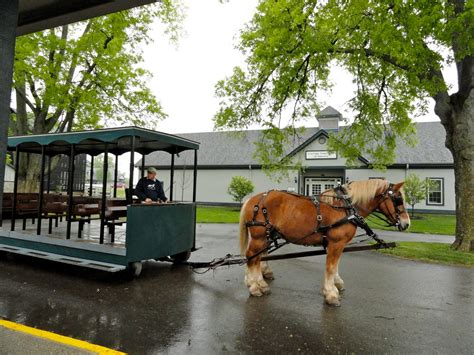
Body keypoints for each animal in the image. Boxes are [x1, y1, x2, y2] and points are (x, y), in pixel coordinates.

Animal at [239, 179, 410, 308]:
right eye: (398, 200)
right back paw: (254, 287)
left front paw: (337, 283)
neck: (345, 207)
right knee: (251, 257)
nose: (407, 223)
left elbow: (336, 266)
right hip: (260, 236)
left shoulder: (337, 244)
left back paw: (260, 284)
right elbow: (330, 267)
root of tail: (253, 199)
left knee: (257, 258)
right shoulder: (336, 243)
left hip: (266, 237)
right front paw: (331, 294)